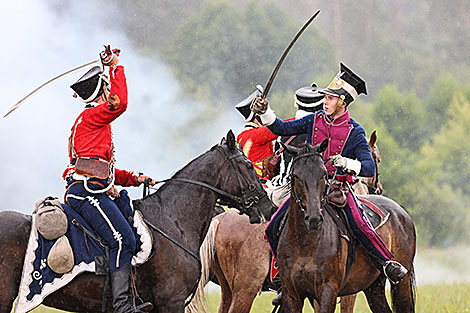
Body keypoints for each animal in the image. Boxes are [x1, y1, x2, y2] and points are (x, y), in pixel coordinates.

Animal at [278, 141, 416, 312]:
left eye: (324, 174)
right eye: (296, 176)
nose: (314, 218)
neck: (305, 244)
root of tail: (402, 211)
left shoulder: (328, 291)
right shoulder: (291, 295)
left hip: (401, 284)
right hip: (373, 287)